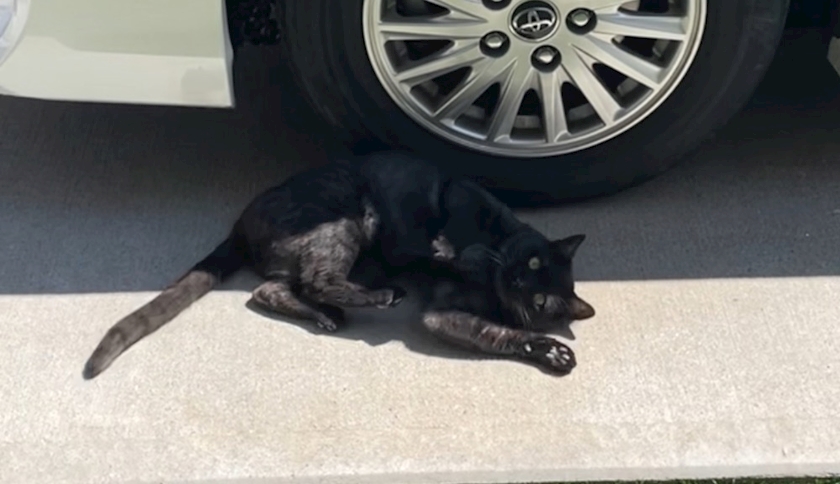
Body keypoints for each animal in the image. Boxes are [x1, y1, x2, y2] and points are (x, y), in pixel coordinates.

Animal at [81, 151, 592, 379]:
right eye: (530, 259)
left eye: (541, 299)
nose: (517, 277)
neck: (486, 276)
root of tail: (242, 222)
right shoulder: (459, 196)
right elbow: (450, 235)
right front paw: (448, 249)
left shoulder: (444, 314)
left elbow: (499, 335)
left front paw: (550, 352)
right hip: (347, 221)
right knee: (313, 279)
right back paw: (379, 297)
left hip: (342, 253)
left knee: (278, 288)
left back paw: (332, 314)